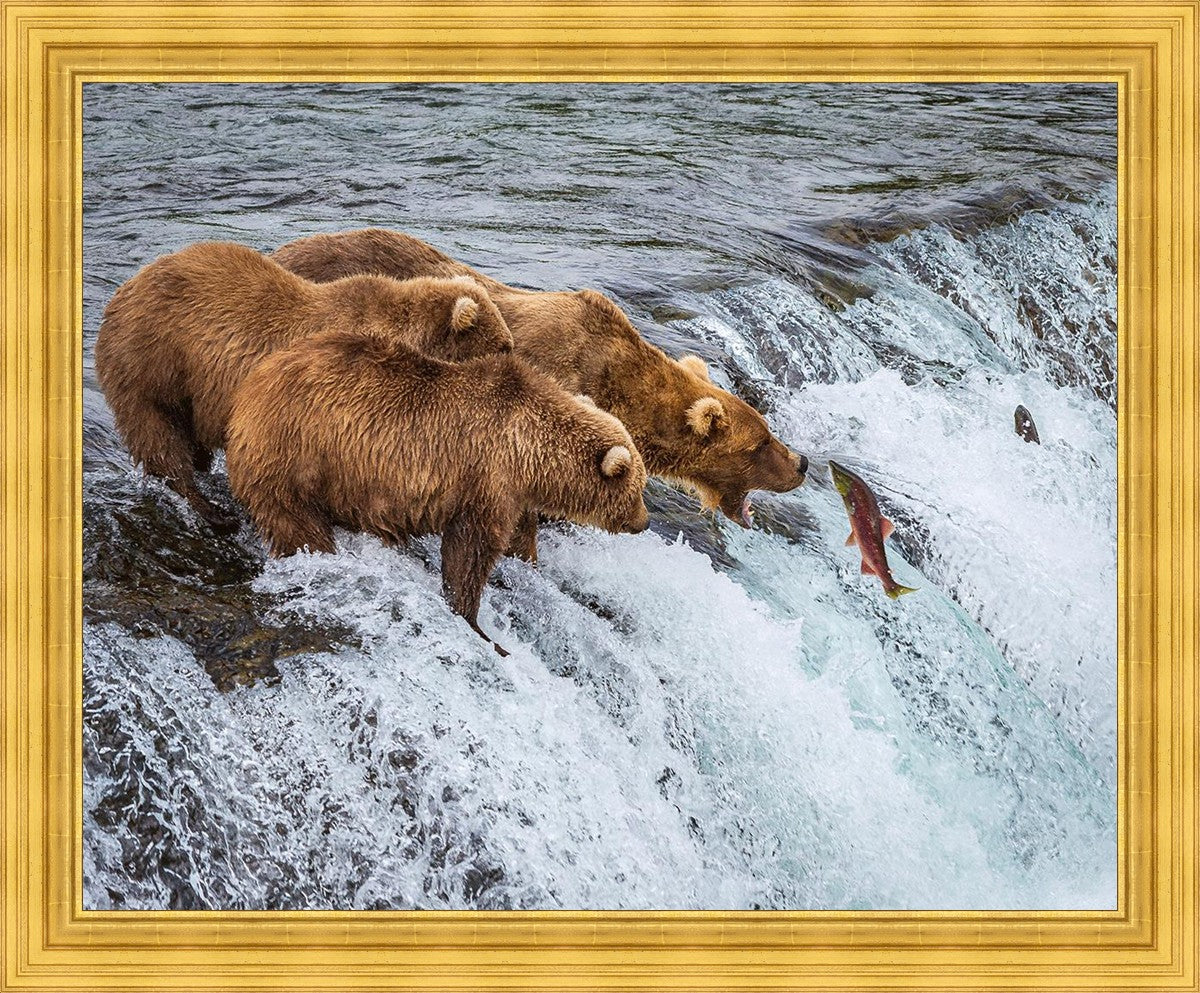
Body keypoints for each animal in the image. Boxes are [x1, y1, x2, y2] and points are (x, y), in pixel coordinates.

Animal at [95, 241, 513, 530]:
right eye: (504, 346)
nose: (515, 362)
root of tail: (124, 289)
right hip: (153, 362)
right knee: (158, 436)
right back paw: (211, 511)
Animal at [224, 330, 649, 655]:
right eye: (638, 488)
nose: (644, 522)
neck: (529, 451)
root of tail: (248, 389)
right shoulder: (486, 477)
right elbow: (470, 551)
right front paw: (477, 624)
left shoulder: (512, 493)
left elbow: (517, 538)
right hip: (296, 455)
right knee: (297, 523)